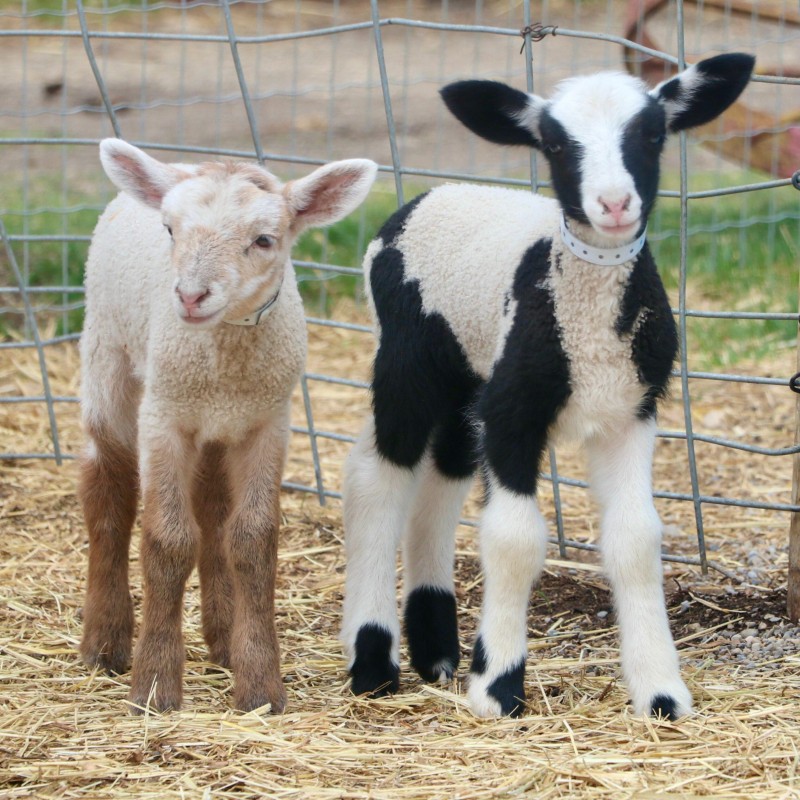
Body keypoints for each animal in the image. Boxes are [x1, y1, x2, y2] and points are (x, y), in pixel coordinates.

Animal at [79, 139, 377, 713]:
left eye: (264, 240)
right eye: (170, 229)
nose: (190, 296)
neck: (225, 355)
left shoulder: (268, 422)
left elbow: (252, 539)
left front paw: (259, 683)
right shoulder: (165, 418)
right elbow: (167, 540)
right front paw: (155, 686)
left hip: (219, 427)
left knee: (213, 506)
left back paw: (222, 637)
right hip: (106, 354)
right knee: (107, 490)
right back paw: (105, 643)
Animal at [341, 53, 754, 719]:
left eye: (652, 134)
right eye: (556, 145)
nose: (614, 204)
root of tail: (429, 196)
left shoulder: (629, 412)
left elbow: (636, 540)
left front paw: (661, 693)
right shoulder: (513, 415)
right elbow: (514, 539)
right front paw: (498, 689)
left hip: (467, 384)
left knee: (437, 488)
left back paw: (437, 655)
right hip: (407, 360)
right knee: (378, 481)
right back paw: (374, 661)